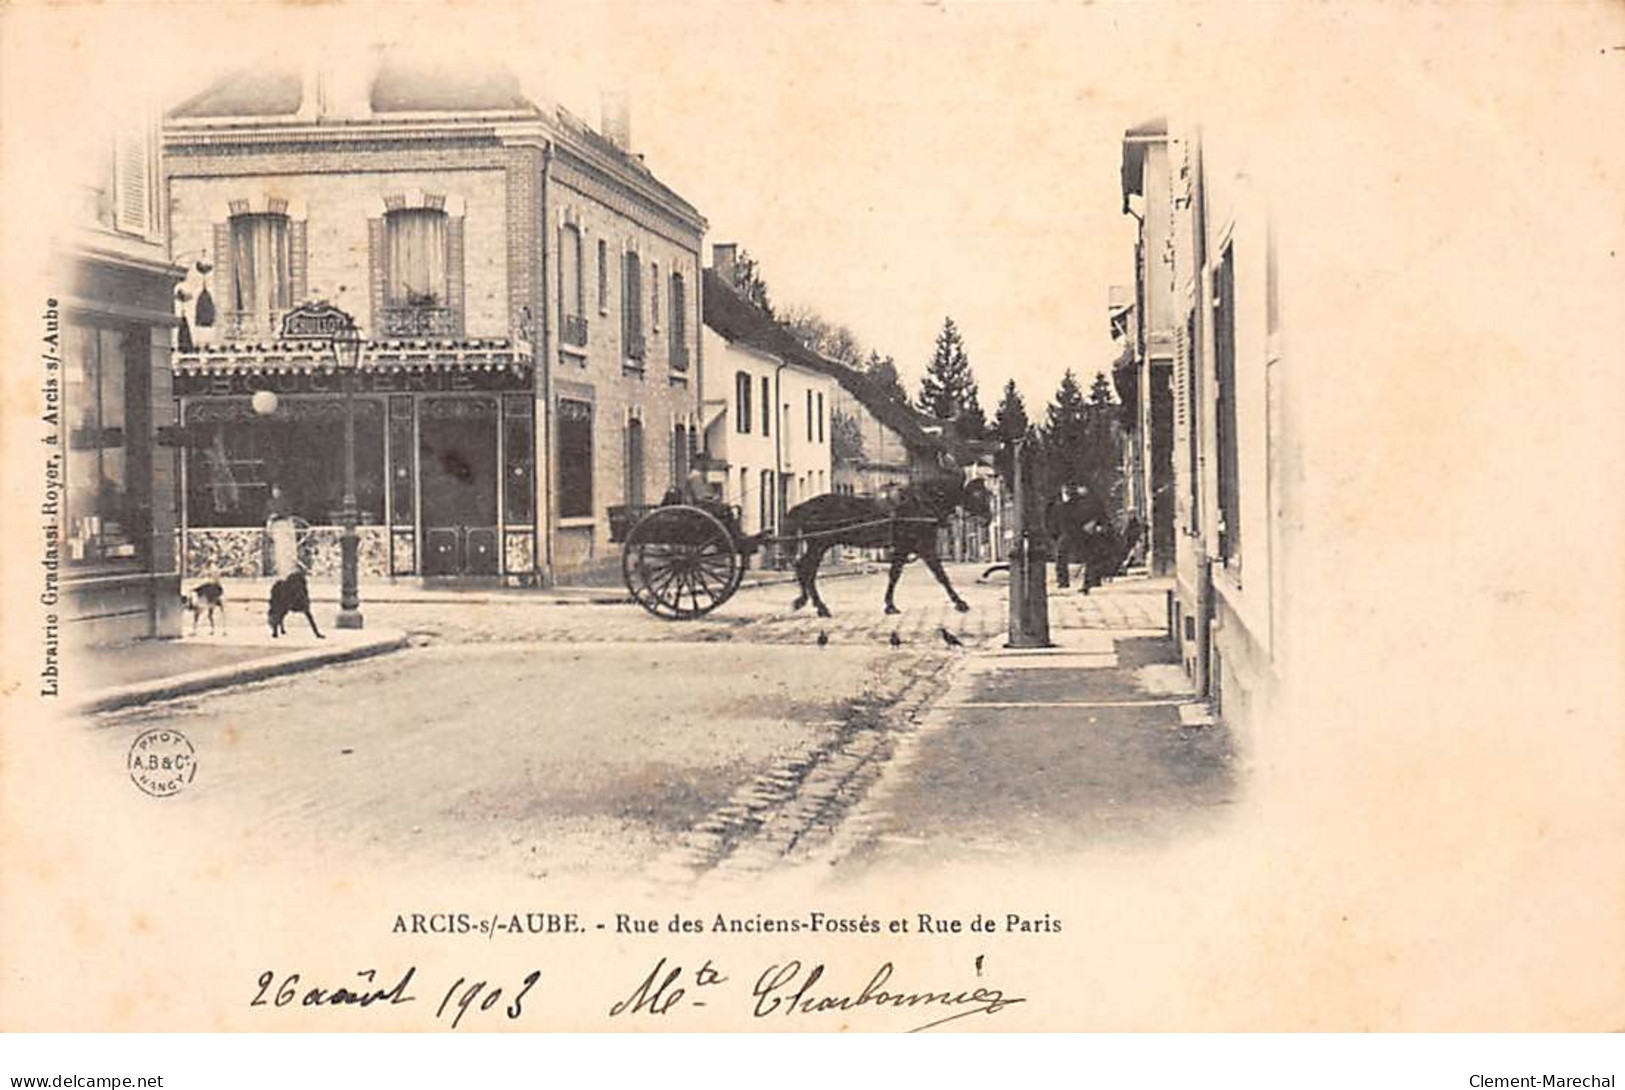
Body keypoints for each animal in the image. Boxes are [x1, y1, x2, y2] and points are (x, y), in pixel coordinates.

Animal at [776, 474, 988, 617]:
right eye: (979, 495)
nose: (988, 519)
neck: (921, 502)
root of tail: (805, 506)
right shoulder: (922, 545)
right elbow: (940, 575)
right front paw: (960, 602)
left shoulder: (905, 547)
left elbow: (894, 574)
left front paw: (889, 605)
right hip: (819, 544)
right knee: (807, 569)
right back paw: (818, 606)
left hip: (818, 544)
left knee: (805, 568)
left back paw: (807, 602)